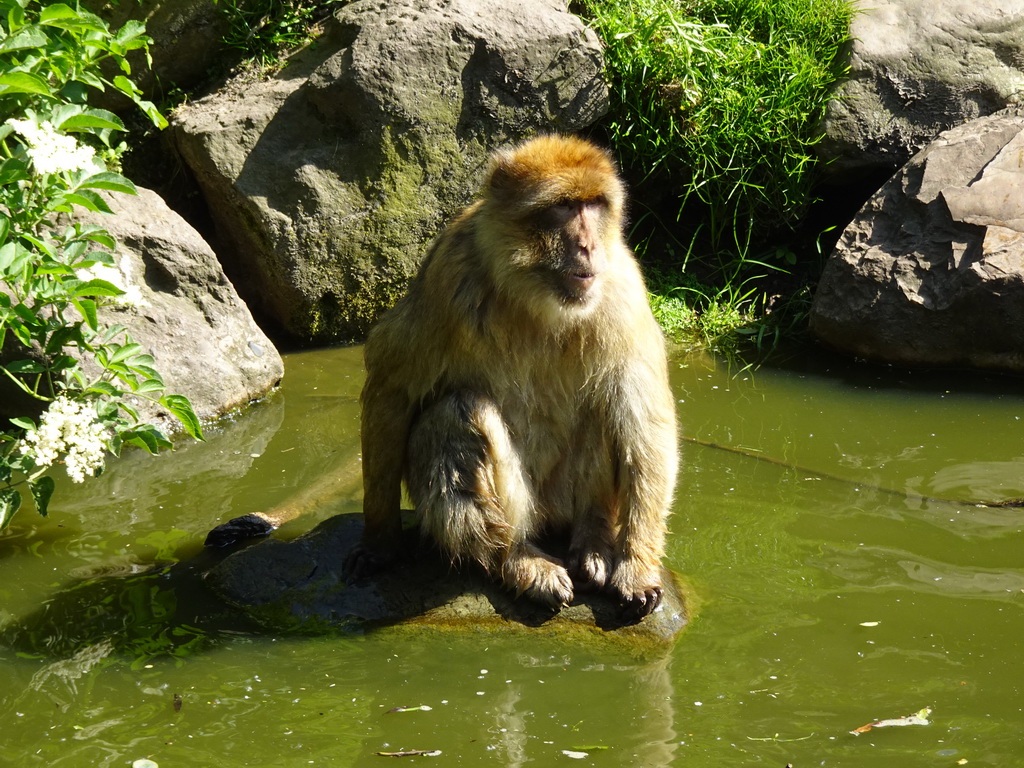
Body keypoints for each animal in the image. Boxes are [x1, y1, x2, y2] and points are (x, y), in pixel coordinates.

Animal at [346, 135, 679, 622]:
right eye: (564, 207)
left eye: (594, 204)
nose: (588, 247)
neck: (534, 295)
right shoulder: (448, 274)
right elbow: (394, 388)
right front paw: (379, 542)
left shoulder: (622, 289)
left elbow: (646, 423)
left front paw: (635, 568)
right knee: (457, 413)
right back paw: (515, 558)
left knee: (608, 405)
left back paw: (593, 540)